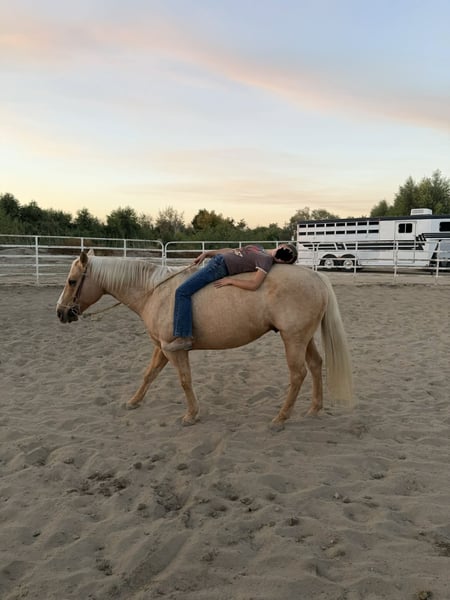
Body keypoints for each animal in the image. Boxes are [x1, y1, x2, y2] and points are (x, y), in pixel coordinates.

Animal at [56, 249, 353, 427]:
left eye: (72, 281)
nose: (61, 312)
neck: (154, 292)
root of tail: (316, 276)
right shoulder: (161, 348)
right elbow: (149, 375)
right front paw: (133, 402)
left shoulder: (174, 350)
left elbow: (184, 381)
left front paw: (190, 415)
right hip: (303, 338)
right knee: (315, 365)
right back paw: (314, 409)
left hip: (293, 339)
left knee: (298, 374)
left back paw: (281, 418)